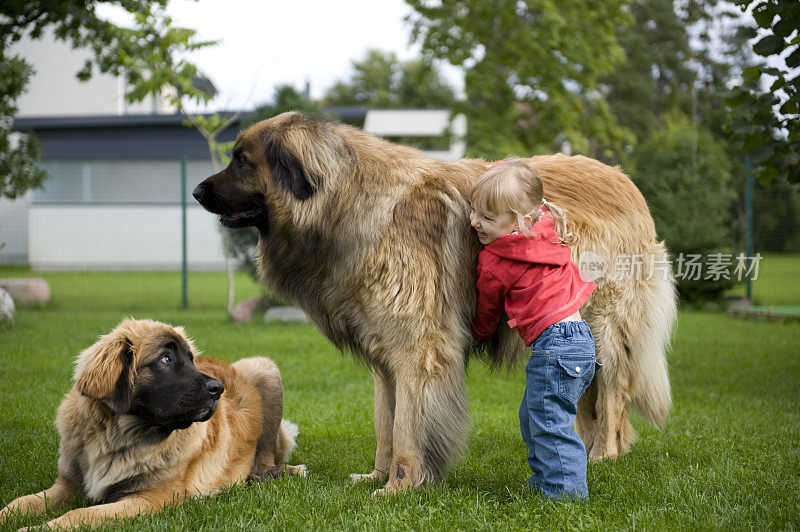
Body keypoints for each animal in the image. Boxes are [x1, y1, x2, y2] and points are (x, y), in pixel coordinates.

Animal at [0, 318, 306, 528]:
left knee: (263, 461)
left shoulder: (148, 498)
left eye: (191, 360)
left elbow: (78, 514)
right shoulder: (66, 486)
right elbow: (19, 503)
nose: (218, 389)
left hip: (264, 369)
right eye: (166, 358)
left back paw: (279, 473)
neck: (116, 436)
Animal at [194, 112, 676, 494]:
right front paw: (377, 476)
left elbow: (409, 428)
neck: (346, 201)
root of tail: (625, 180)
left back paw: (603, 455)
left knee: (612, 393)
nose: (197, 192)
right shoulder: (385, 356)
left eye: (242, 160)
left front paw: (400, 487)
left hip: (603, 326)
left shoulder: (419, 349)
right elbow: (386, 424)